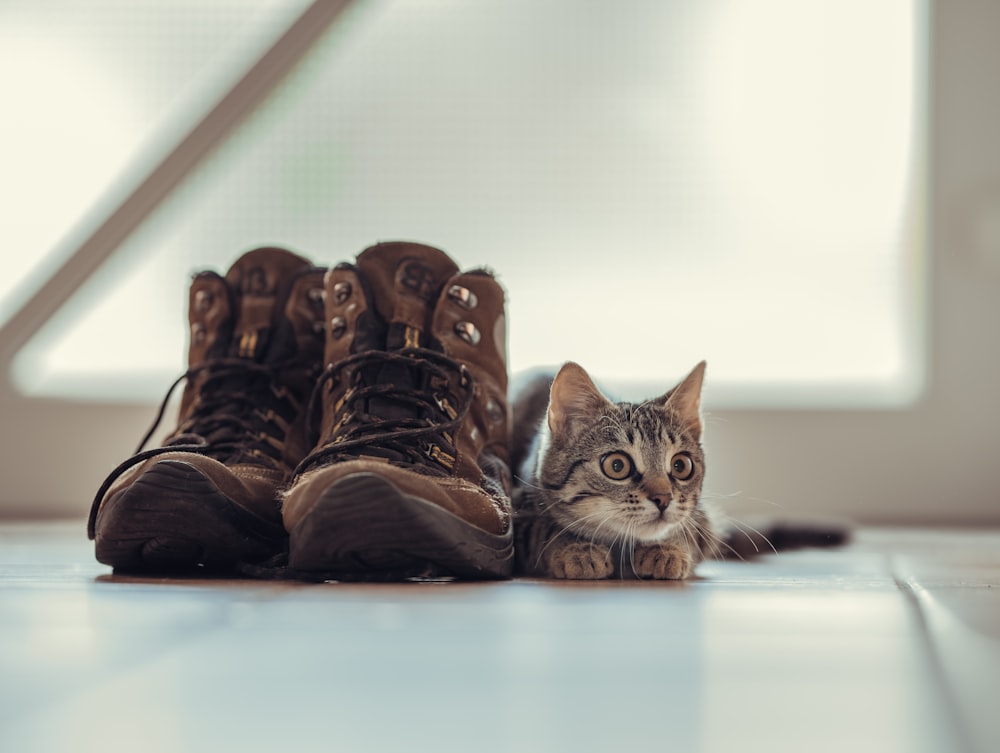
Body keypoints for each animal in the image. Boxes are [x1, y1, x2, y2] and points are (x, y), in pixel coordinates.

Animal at [512, 362, 716, 580]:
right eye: (617, 465)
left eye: (681, 465)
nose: (664, 498)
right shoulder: (518, 515)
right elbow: (542, 529)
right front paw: (577, 549)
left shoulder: (704, 523)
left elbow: (688, 531)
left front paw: (667, 549)